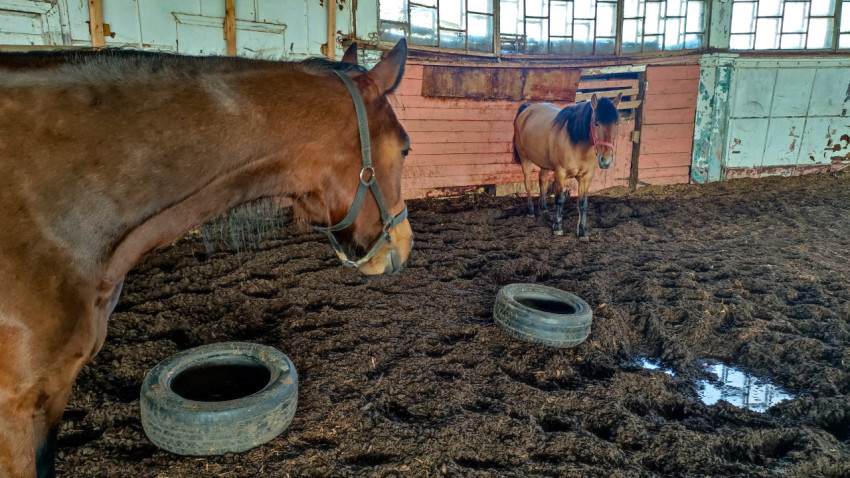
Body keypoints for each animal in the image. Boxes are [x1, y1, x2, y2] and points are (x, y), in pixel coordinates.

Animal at [513, 93, 622, 240]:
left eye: (617, 123)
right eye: (596, 123)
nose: (606, 160)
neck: (576, 142)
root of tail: (527, 109)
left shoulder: (586, 177)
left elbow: (583, 204)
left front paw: (582, 231)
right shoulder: (560, 173)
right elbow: (560, 199)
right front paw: (557, 227)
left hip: (544, 163)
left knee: (542, 180)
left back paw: (543, 207)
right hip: (525, 159)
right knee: (528, 183)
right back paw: (530, 211)